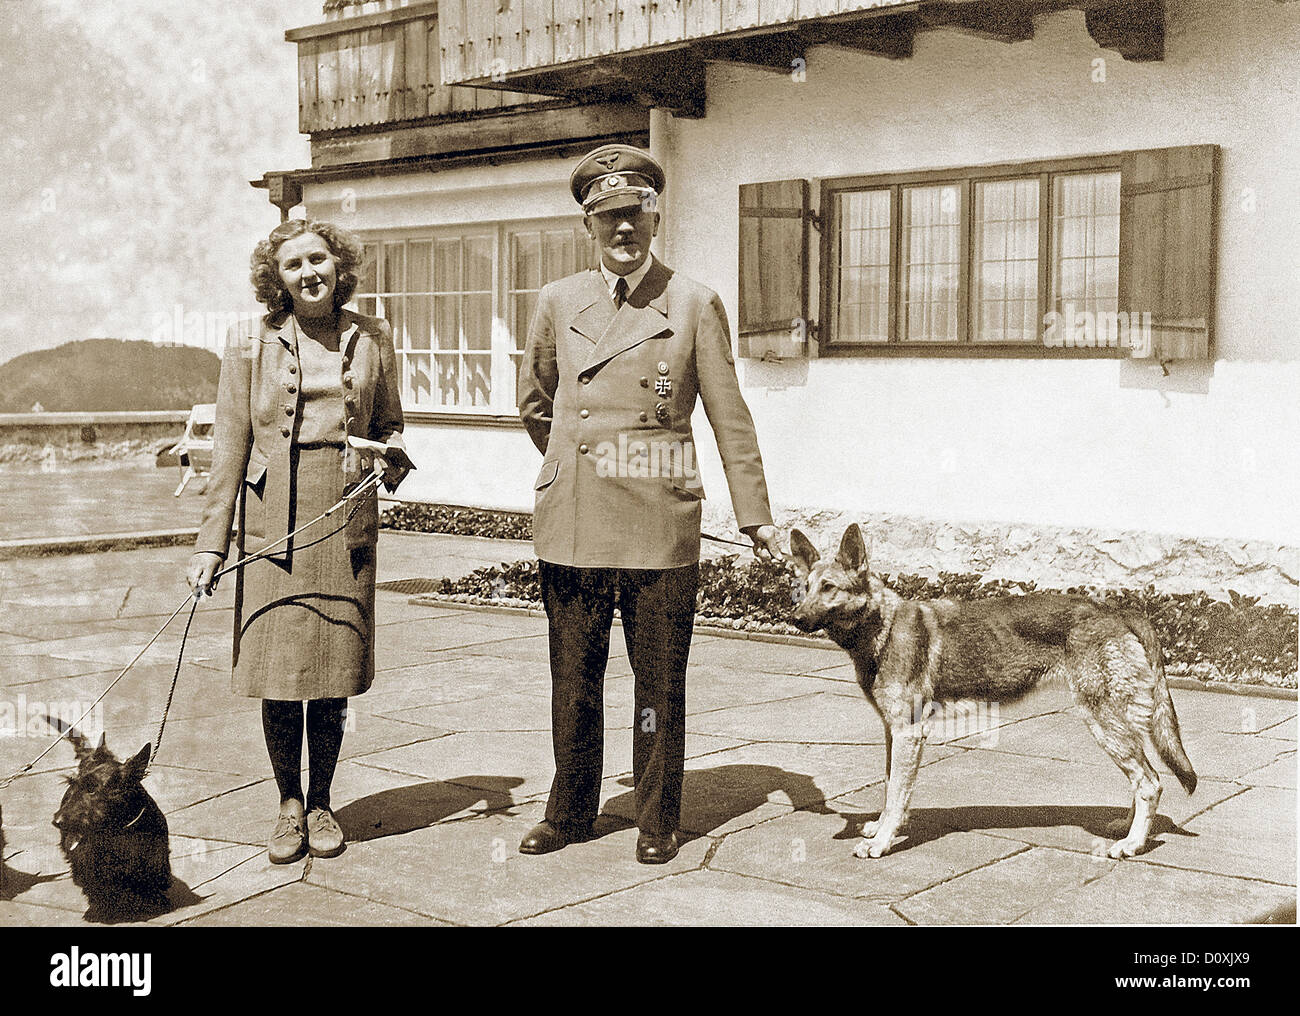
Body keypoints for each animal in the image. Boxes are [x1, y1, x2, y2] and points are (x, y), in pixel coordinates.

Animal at [780, 524, 1196, 857]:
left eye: (829, 588)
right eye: (803, 588)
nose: (794, 618)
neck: (881, 627)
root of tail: (1120, 611)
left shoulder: (908, 733)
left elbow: (897, 794)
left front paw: (883, 842)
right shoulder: (892, 732)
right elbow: (889, 789)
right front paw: (881, 828)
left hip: (1103, 723)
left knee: (1150, 782)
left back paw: (1132, 845)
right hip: (1118, 725)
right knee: (1144, 777)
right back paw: (1126, 829)